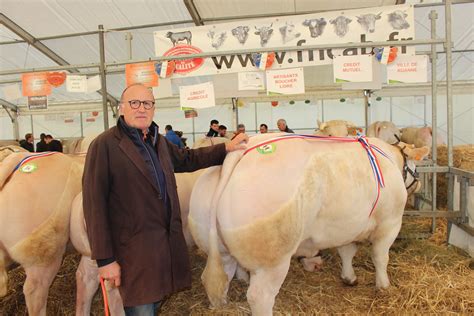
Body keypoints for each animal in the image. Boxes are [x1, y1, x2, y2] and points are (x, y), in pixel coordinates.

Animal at [189, 133, 430, 314]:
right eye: (416, 166)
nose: (419, 184)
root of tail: (241, 152)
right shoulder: (390, 223)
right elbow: (380, 257)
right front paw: (383, 286)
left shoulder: (347, 226)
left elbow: (347, 251)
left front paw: (349, 277)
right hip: (272, 260)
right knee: (260, 296)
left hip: (220, 249)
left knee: (220, 280)